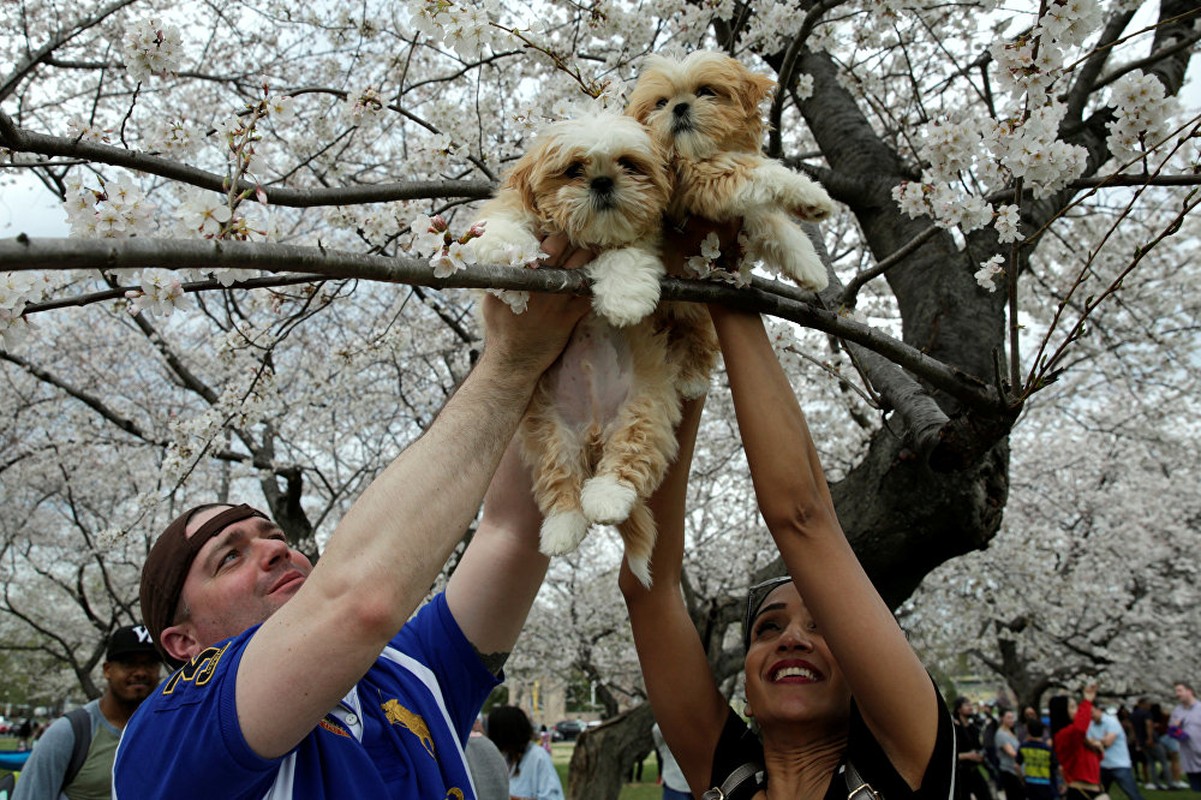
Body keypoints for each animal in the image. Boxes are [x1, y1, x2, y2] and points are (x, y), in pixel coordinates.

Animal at [468, 112, 710, 583]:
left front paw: (624, 297)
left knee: (627, 462)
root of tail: (596, 432)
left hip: (644, 411)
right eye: (574, 169)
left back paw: (607, 496)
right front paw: (501, 249)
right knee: (559, 482)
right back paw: (562, 528)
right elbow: (506, 216)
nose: (601, 182)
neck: (590, 239)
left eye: (629, 164)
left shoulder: (646, 245)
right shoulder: (513, 205)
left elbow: (628, 255)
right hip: (549, 430)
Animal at [629, 50, 835, 287]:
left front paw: (808, 265)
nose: (679, 107)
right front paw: (810, 193)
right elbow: (757, 171)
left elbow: (765, 216)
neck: (696, 152)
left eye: (705, 91)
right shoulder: (703, 176)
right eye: (661, 103)